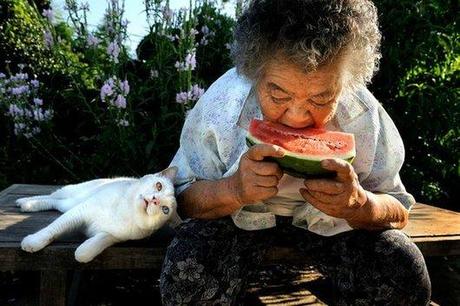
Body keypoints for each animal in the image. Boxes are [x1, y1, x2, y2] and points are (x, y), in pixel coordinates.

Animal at [14, 167, 180, 262]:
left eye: (165, 209)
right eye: (159, 186)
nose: (154, 200)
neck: (126, 211)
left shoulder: (113, 236)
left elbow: (90, 249)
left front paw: (81, 252)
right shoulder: (80, 211)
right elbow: (53, 229)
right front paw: (33, 242)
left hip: (69, 204)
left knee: (56, 202)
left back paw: (25, 204)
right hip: (74, 195)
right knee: (53, 196)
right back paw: (25, 202)